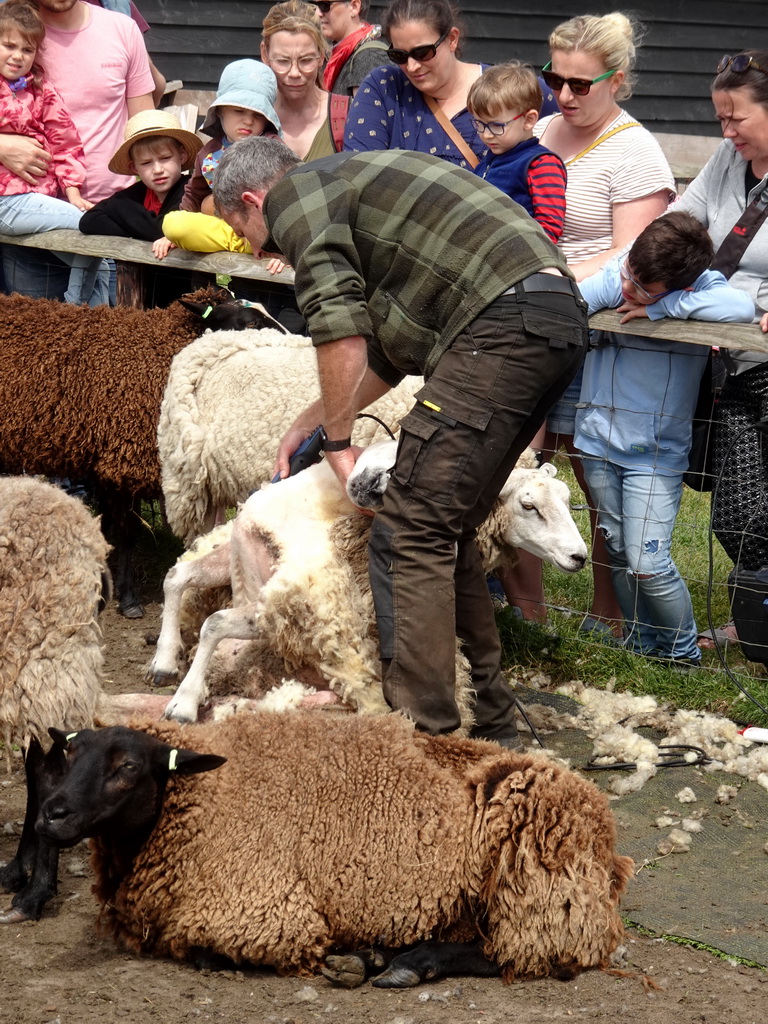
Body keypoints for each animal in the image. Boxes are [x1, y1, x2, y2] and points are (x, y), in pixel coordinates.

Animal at [39, 712, 634, 983]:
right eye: (70, 755)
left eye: (128, 767)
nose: (51, 813)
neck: (206, 796)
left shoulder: (269, 914)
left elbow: (208, 950)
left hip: (541, 878)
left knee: (524, 952)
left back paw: (406, 962)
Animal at [151, 444, 589, 724]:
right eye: (528, 506)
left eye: (568, 502)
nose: (580, 557)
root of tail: (253, 520)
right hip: (284, 604)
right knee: (215, 623)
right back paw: (184, 702)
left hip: (239, 569)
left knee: (178, 578)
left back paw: (165, 660)